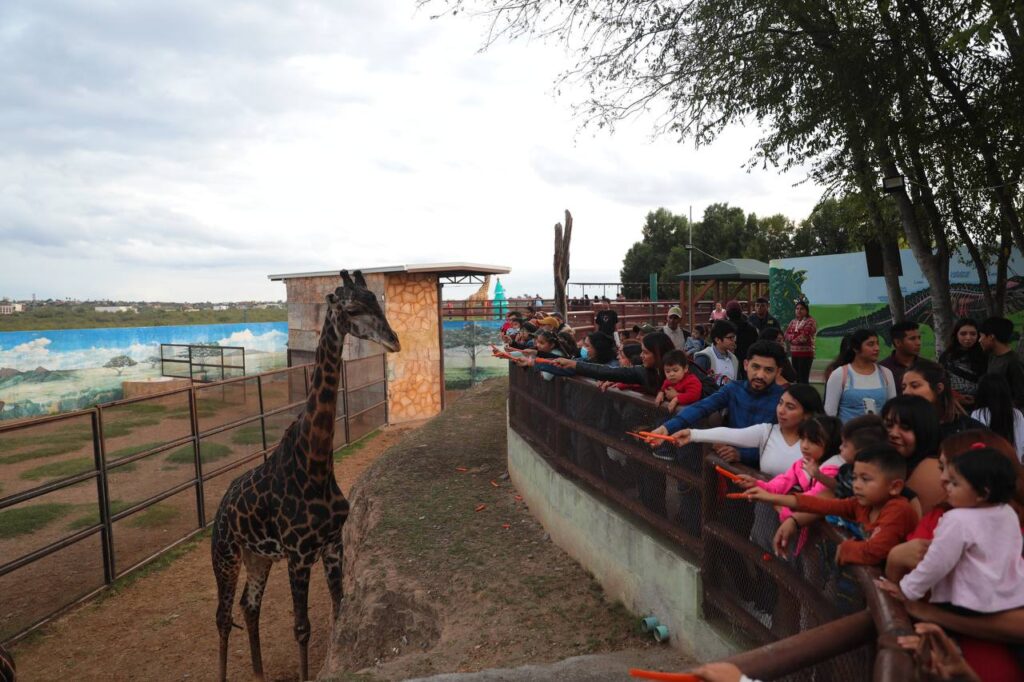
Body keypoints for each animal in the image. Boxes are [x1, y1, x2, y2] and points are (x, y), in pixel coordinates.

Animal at [209, 268, 397, 675]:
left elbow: (339, 609)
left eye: (377, 301)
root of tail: (220, 507)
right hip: (226, 554)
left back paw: (260, 673)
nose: (394, 340)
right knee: (222, 616)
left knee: (249, 605)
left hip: (258, 557)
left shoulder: (332, 544)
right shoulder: (298, 555)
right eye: (353, 307)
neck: (315, 465)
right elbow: (301, 627)